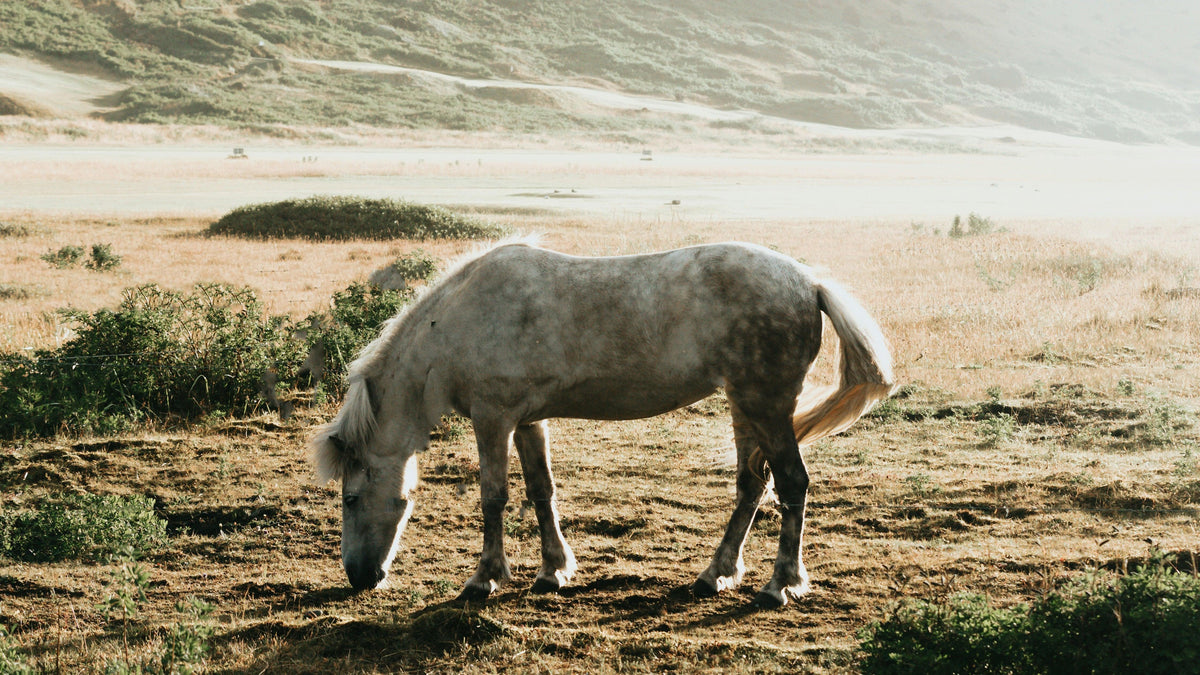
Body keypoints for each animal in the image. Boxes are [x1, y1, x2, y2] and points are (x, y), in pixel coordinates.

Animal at [310, 239, 894, 608]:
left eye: (350, 498)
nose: (359, 577)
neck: (457, 323)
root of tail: (810, 282)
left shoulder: (492, 419)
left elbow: (494, 497)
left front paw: (484, 579)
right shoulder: (527, 421)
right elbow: (541, 491)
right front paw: (553, 571)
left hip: (767, 406)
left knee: (792, 484)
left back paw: (780, 585)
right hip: (744, 405)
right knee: (752, 485)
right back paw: (714, 575)